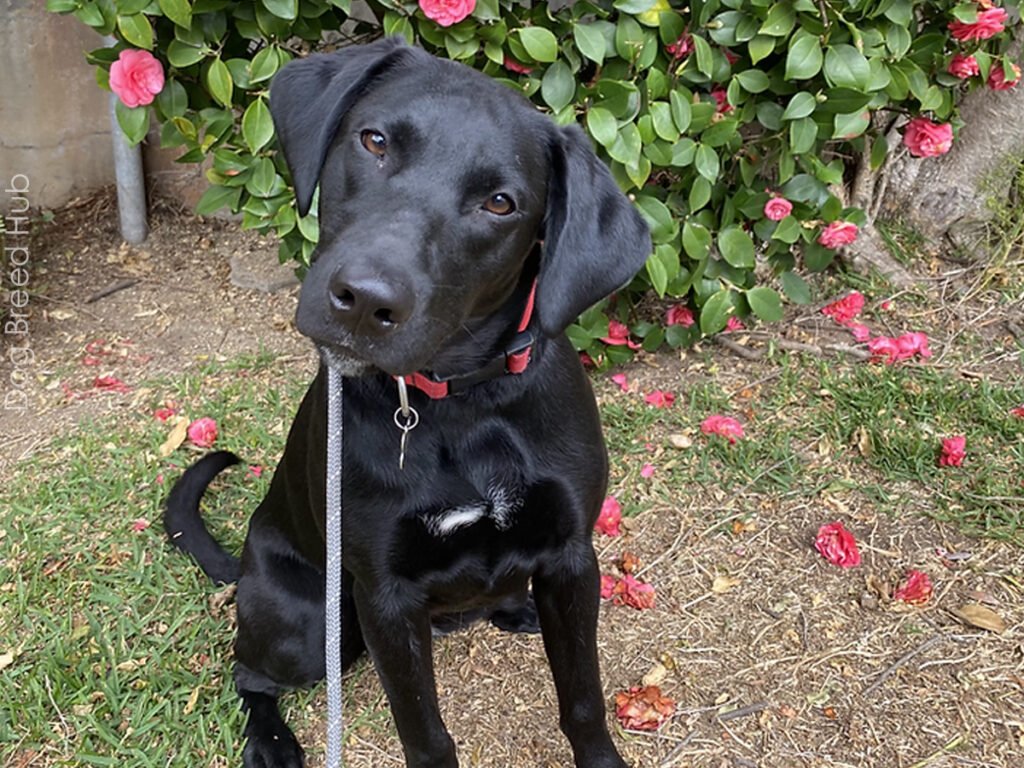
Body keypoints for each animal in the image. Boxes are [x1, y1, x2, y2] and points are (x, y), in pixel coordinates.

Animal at [165, 37, 647, 768]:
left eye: (501, 203)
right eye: (374, 141)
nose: (365, 300)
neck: (463, 403)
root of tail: (246, 558)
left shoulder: (571, 559)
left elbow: (584, 699)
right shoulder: (385, 598)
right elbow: (424, 732)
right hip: (311, 626)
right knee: (248, 673)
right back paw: (272, 741)